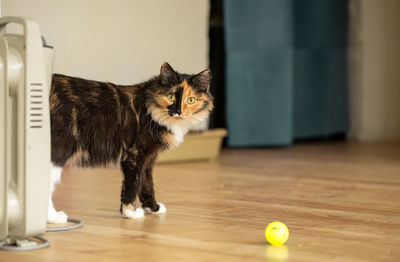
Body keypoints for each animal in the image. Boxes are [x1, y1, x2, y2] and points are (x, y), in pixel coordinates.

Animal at [47, 62, 212, 222]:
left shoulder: (148, 159)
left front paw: (153, 208)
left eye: (190, 100)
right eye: (171, 97)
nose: (178, 111)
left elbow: (146, 186)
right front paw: (130, 213)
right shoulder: (134, 154)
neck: (150, 106)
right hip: (59, 148)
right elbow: (132, 186)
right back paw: (54, 218)